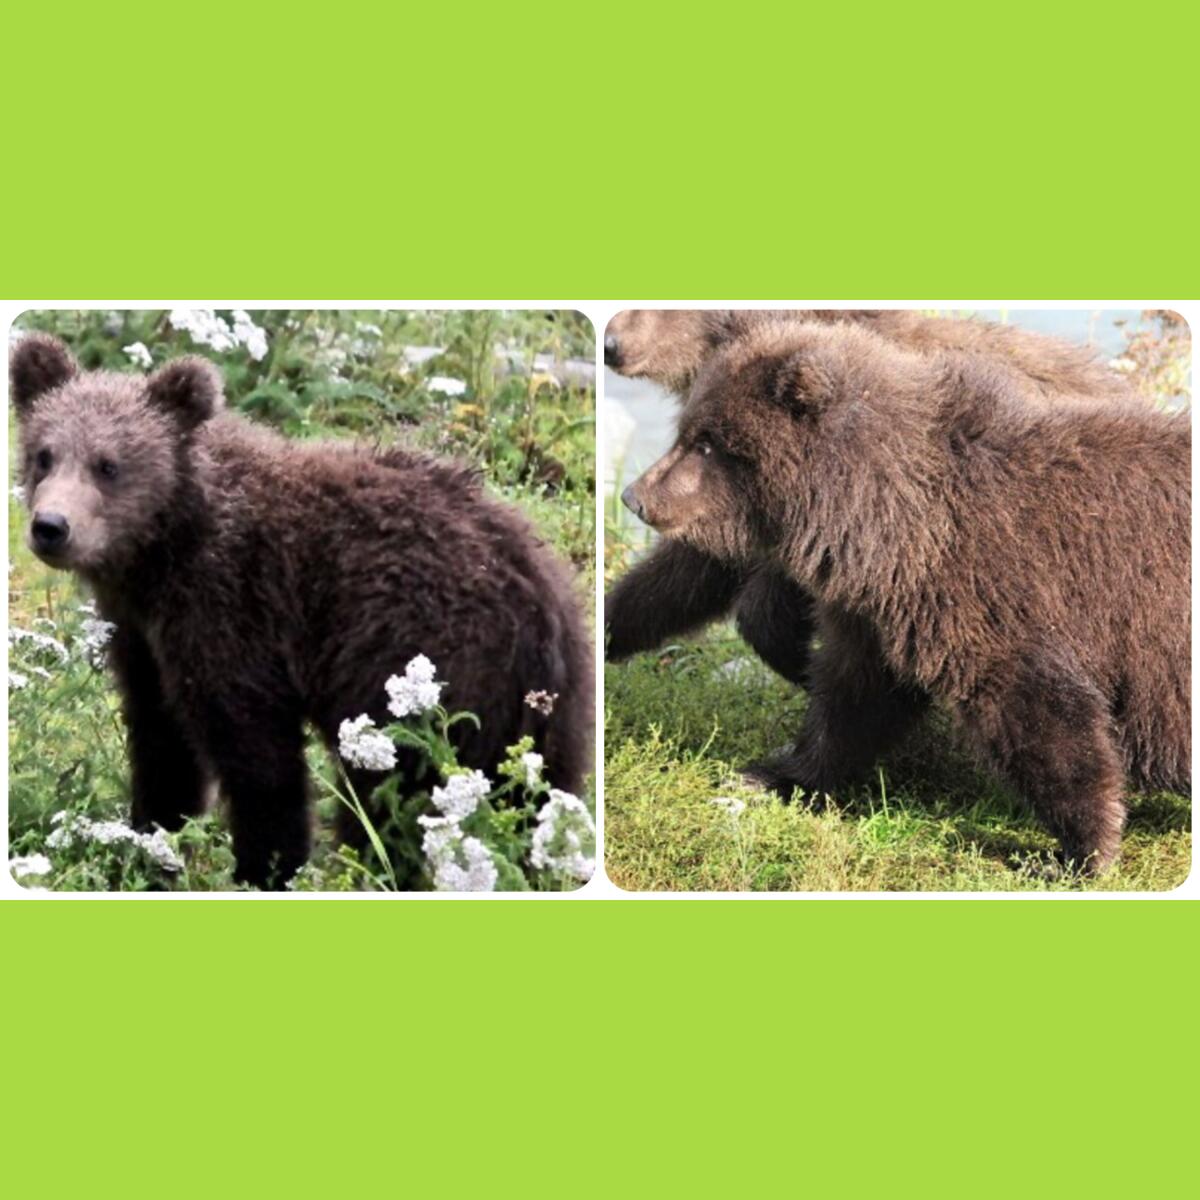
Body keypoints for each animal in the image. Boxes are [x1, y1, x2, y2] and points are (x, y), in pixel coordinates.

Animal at [9, 333, 590, 888]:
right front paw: (147, 848)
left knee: (390, 800)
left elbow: (258, 756)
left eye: (108, 465)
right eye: (44, 454)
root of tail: (541, 612)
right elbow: (162, 743)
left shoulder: (234, 609)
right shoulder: (143, 636)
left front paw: (263, 868)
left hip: (420, 673)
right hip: (544, 716)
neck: (163, 550)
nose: (52, 526)